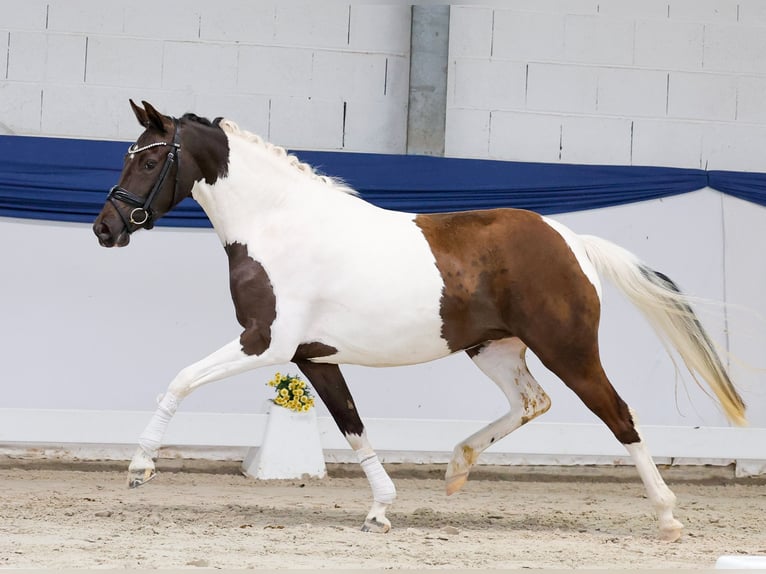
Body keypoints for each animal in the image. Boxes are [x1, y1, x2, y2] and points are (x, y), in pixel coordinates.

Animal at [92, 100, 746, 542]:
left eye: (150, 159)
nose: (105, 228)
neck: (277, 225)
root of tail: (573, 242)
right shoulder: (312, 357)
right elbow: (352, 426)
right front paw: (381, 509)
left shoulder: (264, 344)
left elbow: (179, 379)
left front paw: (140, 468)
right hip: (495, 349)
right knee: (532, 402)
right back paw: (456, 468)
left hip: (569, 349)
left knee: (619, 416)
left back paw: (667, 517)